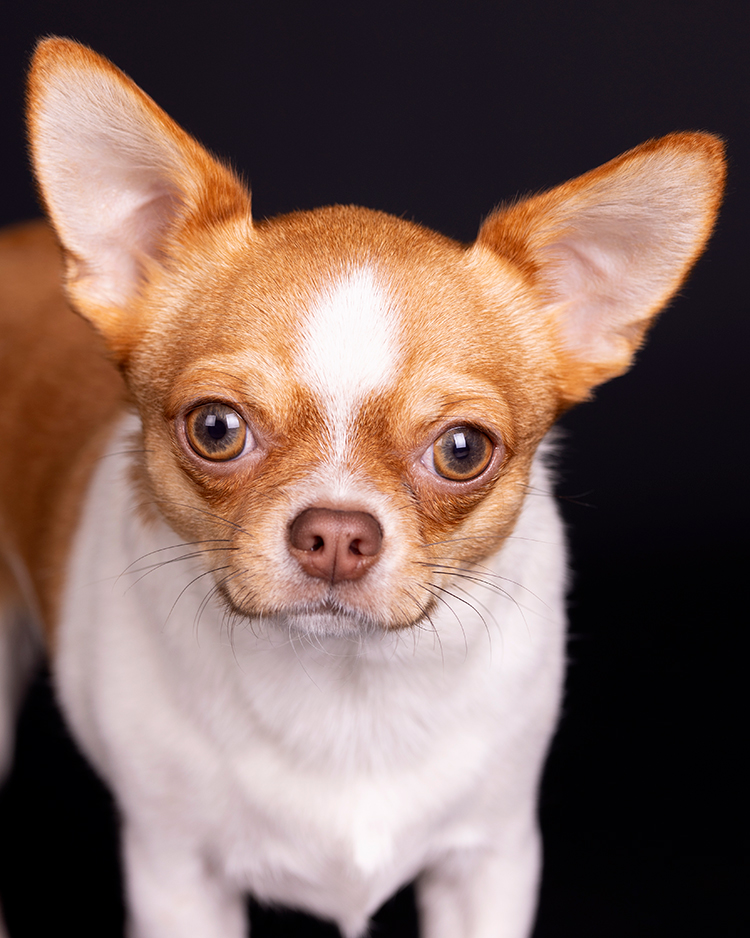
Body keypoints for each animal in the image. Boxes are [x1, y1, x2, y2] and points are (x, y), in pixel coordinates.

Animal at [0, 36, 724, 936]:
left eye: (462, 449)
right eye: (216, 429)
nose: (338, 533)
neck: (344, 693)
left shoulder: (489, 862)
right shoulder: (176, 875)